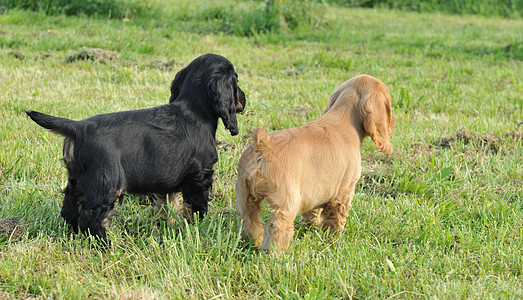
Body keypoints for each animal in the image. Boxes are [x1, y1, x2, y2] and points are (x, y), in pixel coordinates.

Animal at [28, 53, 248, 244]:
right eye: (236, 80)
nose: (245, 99)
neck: (194, 110)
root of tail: (78, 127)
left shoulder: (165, 184)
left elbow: (166, 207)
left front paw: (167, 228)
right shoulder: (200, 175)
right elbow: (196, 208)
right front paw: (197, 229)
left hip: (77, 179)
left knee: (69, 211)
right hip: (105, 181)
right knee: (91, 217)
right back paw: (106, 245)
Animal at [236, 74, 392, 252]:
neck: (343, 118)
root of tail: (263, 146)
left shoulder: (313, 191)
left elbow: (312, 213)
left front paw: (313, 228)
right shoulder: (343, 192)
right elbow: (335, 220)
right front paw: (332, 241)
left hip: (244, 194)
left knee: (248, 219)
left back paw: (252, 244)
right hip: (286, 200)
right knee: (277, 226)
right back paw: (275, 254)